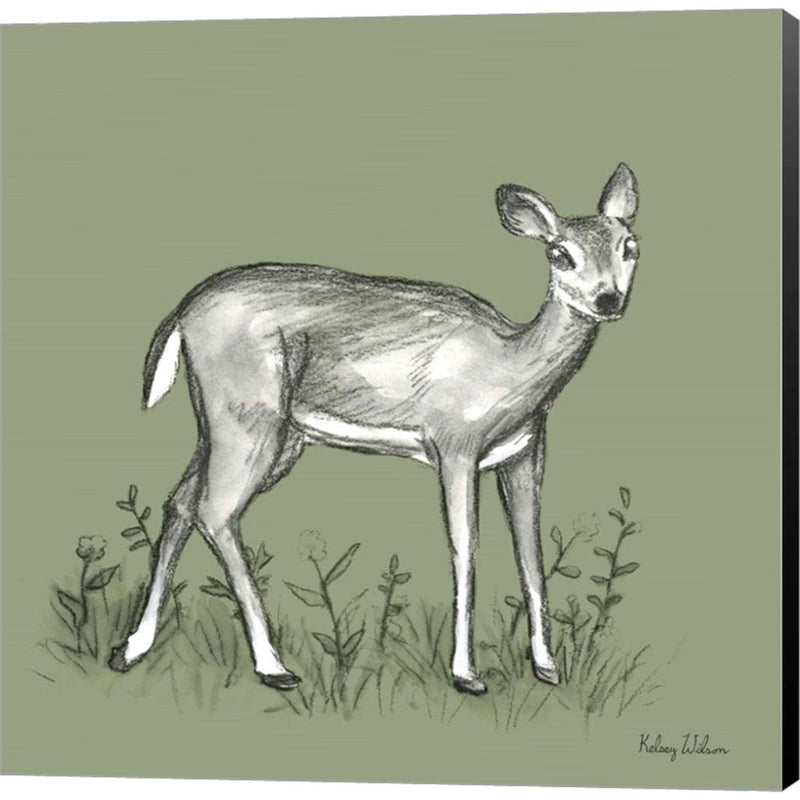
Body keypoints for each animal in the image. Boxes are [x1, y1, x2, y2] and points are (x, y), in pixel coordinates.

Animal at [109, 163, 640, 696]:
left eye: (629, 246)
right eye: (560, 254)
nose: (608, 298)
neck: (507, 368)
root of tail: (182, 313)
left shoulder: (525, 453)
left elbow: (530, 552)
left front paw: (547, 667)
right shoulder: (454, 448)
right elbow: (465, 549)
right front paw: (466, 675)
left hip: (249, 431)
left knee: (181, 501)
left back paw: (131, 649)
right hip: (249, 419)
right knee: (216, 511)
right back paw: (274, 667)